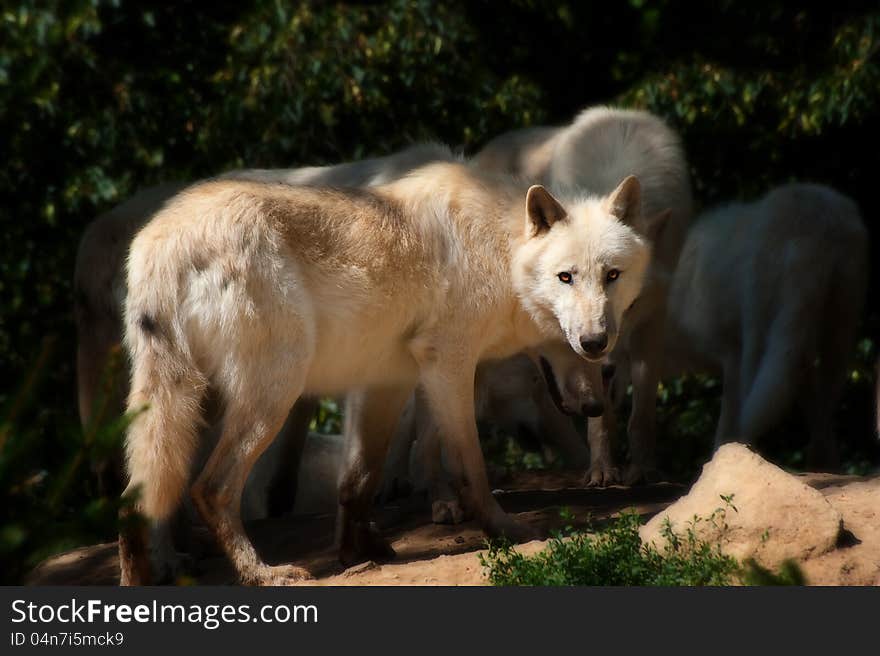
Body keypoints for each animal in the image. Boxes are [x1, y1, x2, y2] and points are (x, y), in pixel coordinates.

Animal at [120, 163, 664, 584]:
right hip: (273, 396)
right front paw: (503, 530)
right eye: (565, 277)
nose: (595, 344)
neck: (501, 248)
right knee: (209, 489)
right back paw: (262, 574)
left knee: (132, 500)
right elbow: (471, 467)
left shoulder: (386, 382)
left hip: (194, 407)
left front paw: (359, 553)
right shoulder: (448, 366)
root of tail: (159, 242)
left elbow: (359, 479)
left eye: (612, 276)